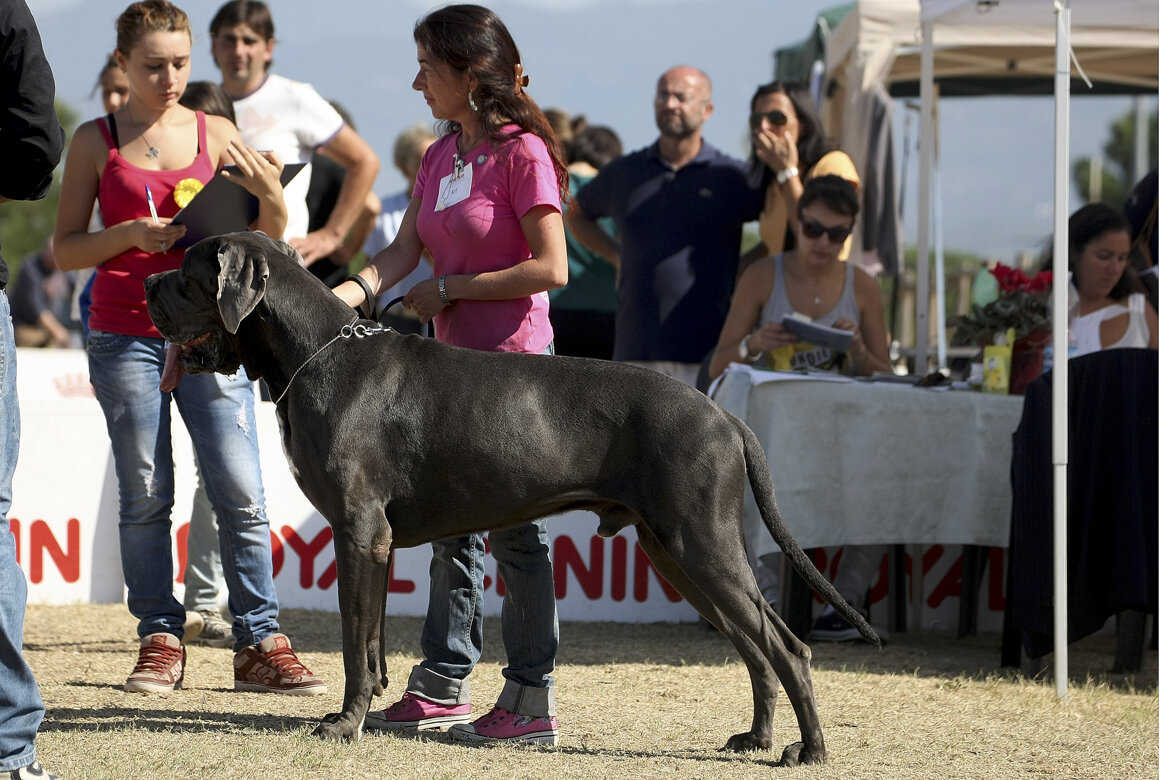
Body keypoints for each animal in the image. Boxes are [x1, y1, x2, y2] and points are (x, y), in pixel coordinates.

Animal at [144, 232, 878, 765]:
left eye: (185, 272)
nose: (145, 283)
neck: (314, 353)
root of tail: (723, 413)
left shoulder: (358, 532)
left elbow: (355, 642)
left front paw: (345, 725)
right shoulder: (375, 541)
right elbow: (373, 640)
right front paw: (366, 709)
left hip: (699, 542)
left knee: (788, 648)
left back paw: (808, 751)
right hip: (674, 551)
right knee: (757, 647)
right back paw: (756, 738)